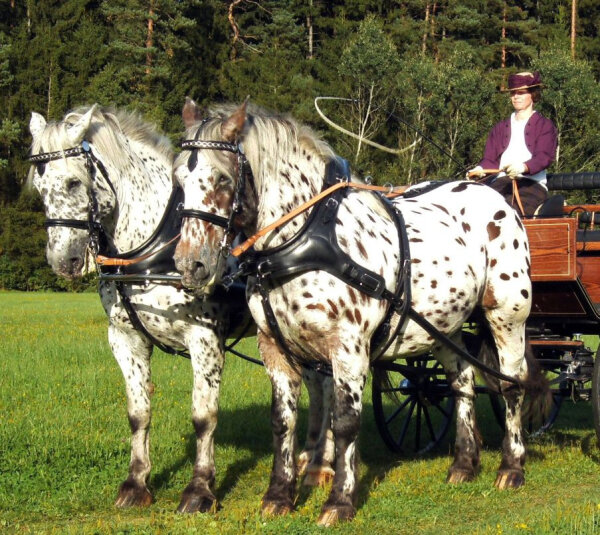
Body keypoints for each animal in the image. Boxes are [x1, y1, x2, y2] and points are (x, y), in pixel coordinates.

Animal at [28, 103, 336, 516]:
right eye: (39, 187)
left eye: (74, 183)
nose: (64, 261)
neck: (151, 246)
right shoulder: (124, 338)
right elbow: (138, 413)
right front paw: (136, 483)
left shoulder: (204, 339)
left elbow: (204, 417)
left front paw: (199, 490)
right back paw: (309, 458)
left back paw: (321, 465)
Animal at [172, 101, 548, 528]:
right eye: (179, 179)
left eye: (221, 178)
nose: (190, 265)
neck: (304, 239)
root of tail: (498, 199)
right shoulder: (275, 349)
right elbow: (283, 422)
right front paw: (278, 496)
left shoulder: (348, 348)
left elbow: (345, 423)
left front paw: (339, 501)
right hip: (443, 327)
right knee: (462, 383)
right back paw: (464, 465)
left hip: (507, 316)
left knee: (512, 384)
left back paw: (511, 467)